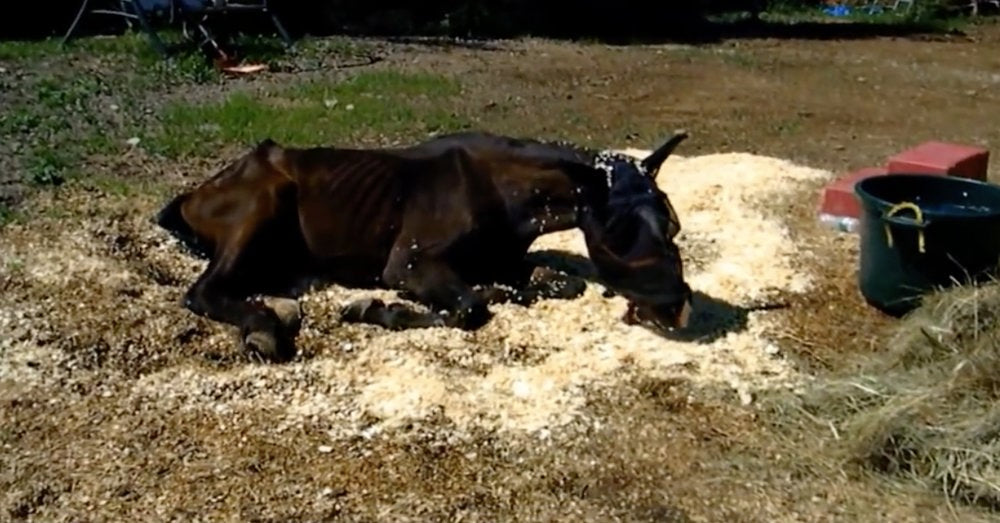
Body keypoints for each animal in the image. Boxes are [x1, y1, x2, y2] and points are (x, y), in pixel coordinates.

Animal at [154, 130, 691, 362]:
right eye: (616, 230)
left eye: (674, 223)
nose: (677, 309)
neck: (502, 191)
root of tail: (197, 191)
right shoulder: (409, 263)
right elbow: (469, 307)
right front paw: (376, 308)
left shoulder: (506, 260)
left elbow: (552, 283)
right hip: (262, 204)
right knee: (204, 292)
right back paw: (263, 330)